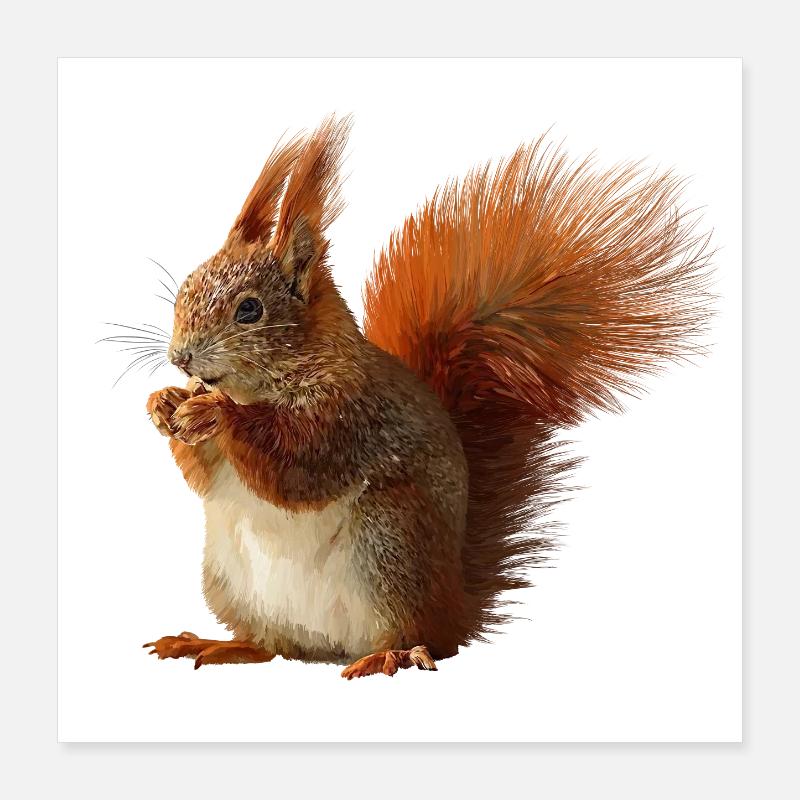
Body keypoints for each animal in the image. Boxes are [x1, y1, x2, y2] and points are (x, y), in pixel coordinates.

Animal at [143, 115, 713, 678]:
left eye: (250, 310)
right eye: (185, 287)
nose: (180, 357)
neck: (261, 386)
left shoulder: (349, 416)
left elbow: (295, 466)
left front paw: (215, 412)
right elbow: (204, 476)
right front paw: (164, 403)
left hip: (390, 546)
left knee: (423, 639)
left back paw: (389, 655)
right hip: (232, 580)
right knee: (274, 645)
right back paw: (218, 644)